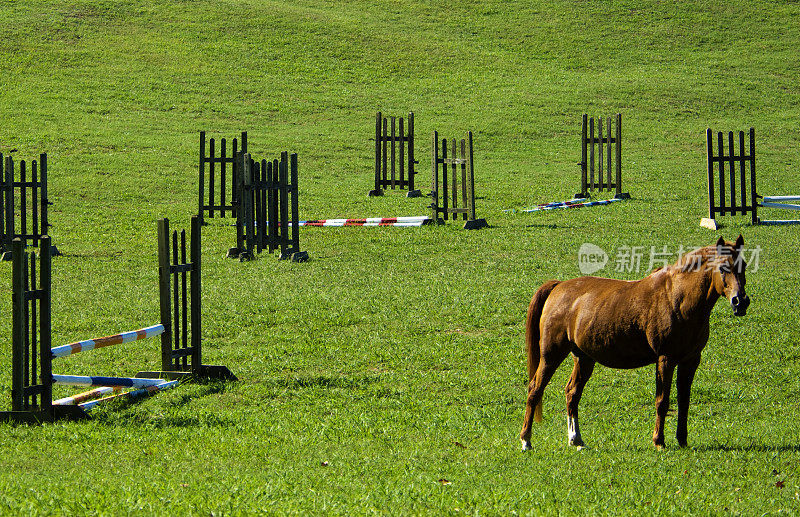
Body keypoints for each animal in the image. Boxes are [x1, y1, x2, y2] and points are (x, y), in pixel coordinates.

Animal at [520, 236, 752, 450]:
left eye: (744, 265)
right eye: (723, 267)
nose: (740, 301)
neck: (676, 298)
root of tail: (558, 287)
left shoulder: (690, 361)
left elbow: (684, 400)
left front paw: (682, 440)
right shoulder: (666, 359)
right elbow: (662, 401)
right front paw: (659, 441)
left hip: (584, 358)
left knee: (572, 393)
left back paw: (576, 439)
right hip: (551, 355)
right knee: (535, 389)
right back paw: (526, 441)